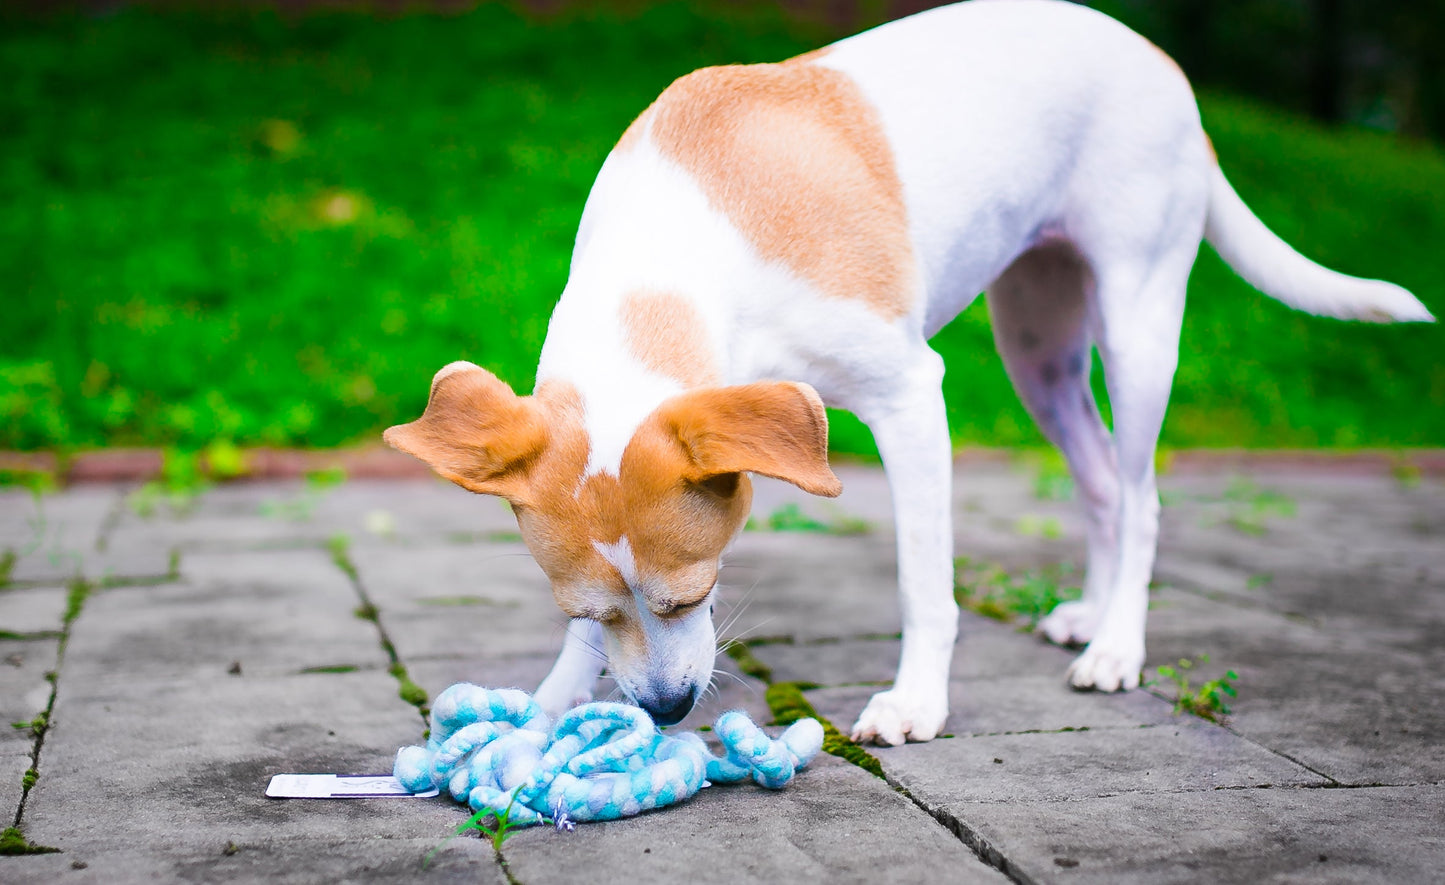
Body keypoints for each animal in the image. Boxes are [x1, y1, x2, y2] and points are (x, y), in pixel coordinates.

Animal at [384, 0, 1433, 746]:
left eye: (691, 593)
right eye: (591, 610)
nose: (670, 710)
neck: (676, 247)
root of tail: (1162, 63)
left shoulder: (911, 401)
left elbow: (923, 580)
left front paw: (916, 702)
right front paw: (556, 698)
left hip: (1138, 324)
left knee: (1138, 496)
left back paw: (1116, 645)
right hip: (1037, 350)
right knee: (1097, 479)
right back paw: (1089, 614)